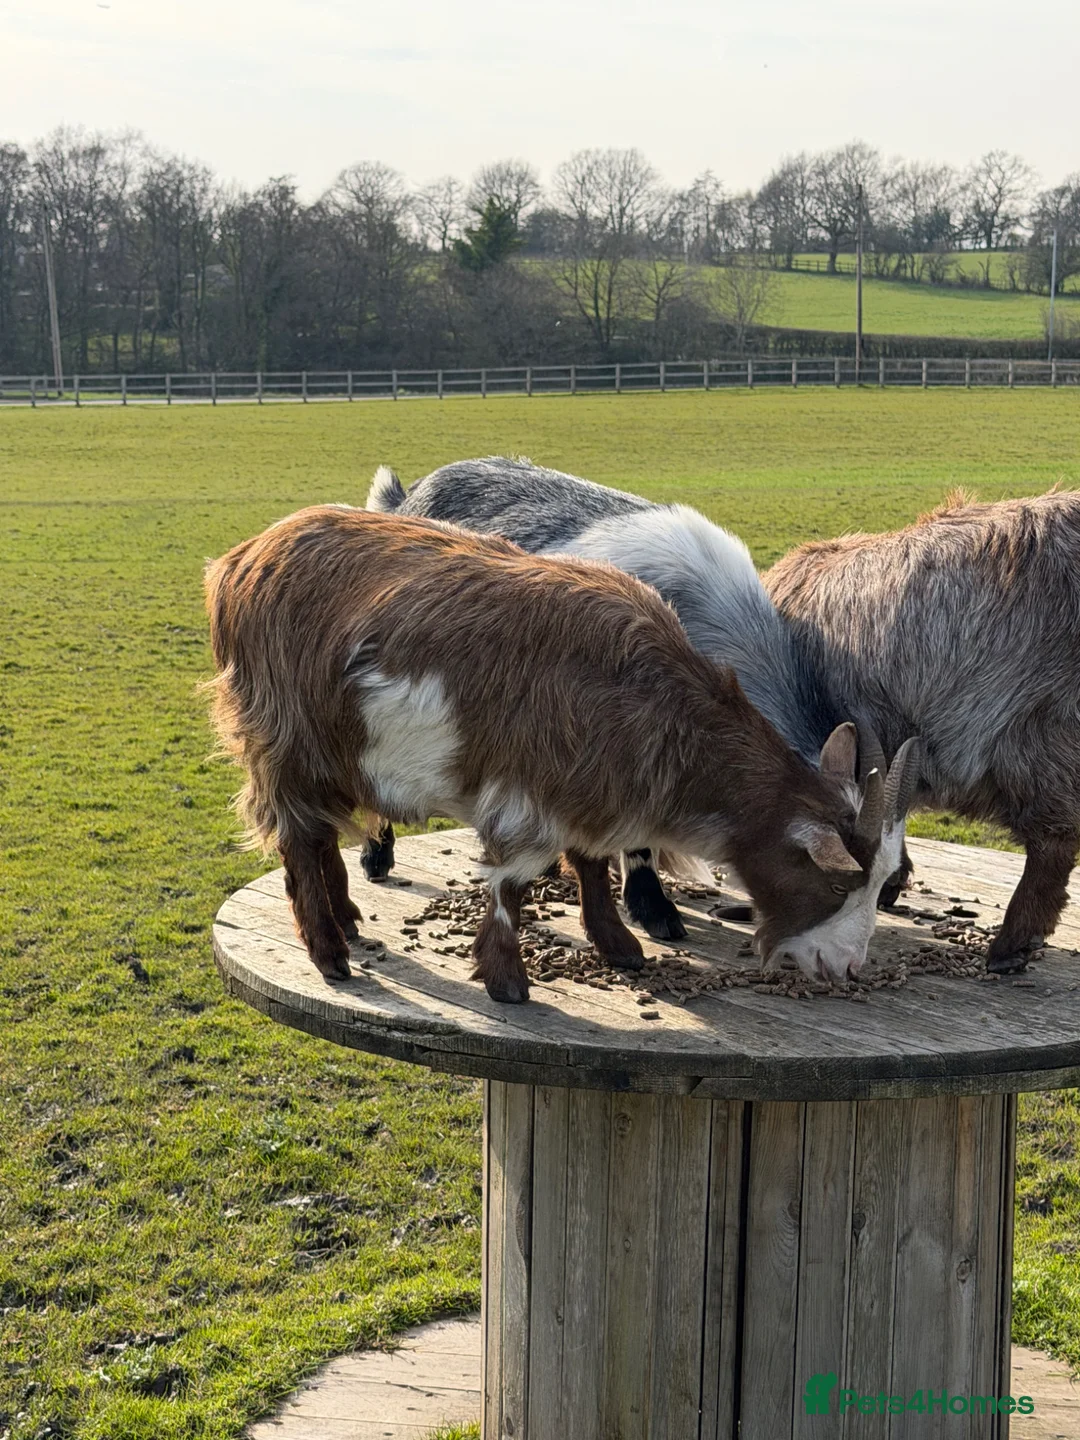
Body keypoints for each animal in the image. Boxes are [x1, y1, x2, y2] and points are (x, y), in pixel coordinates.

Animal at [205, 505, 906, 1000]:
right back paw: (330, 954)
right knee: (298, 842)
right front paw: (507, 981)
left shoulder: (588, 792)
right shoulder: (526, 795)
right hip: (282, 741)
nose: (846, 966)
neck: (649, 700)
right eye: (834, 880)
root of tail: (237, 564)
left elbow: (592, 866)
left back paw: (349, 920)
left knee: (321, 835)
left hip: (333, 756)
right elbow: (510, 884)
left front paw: (619, 947)